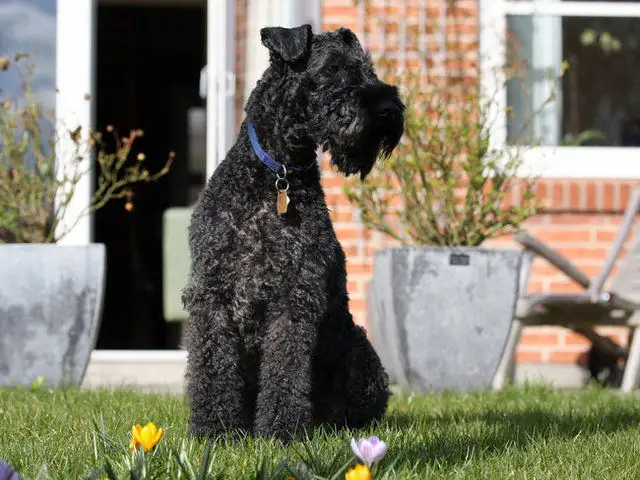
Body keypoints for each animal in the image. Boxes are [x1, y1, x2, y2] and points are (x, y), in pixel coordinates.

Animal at [184, 24, 404, 440]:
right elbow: (212, 367)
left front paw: (279, 431)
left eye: (365, 67)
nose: (388, 109)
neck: (275, 175)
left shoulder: (294, 294)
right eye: (332, 68)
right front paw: (215, 429)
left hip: (359, 352)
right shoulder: (213, 292)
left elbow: (285, 370)